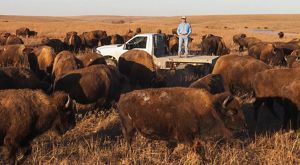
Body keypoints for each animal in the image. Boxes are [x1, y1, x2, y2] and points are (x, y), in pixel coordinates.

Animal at [117, 87, 246, 157]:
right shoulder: (188, 138)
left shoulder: (174, 139)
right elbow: (199, 151)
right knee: (129, 142)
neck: (210, 108)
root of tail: (122, 97)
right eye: (233, 112)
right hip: (128, 128)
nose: (244, 127)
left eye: (240, 109)